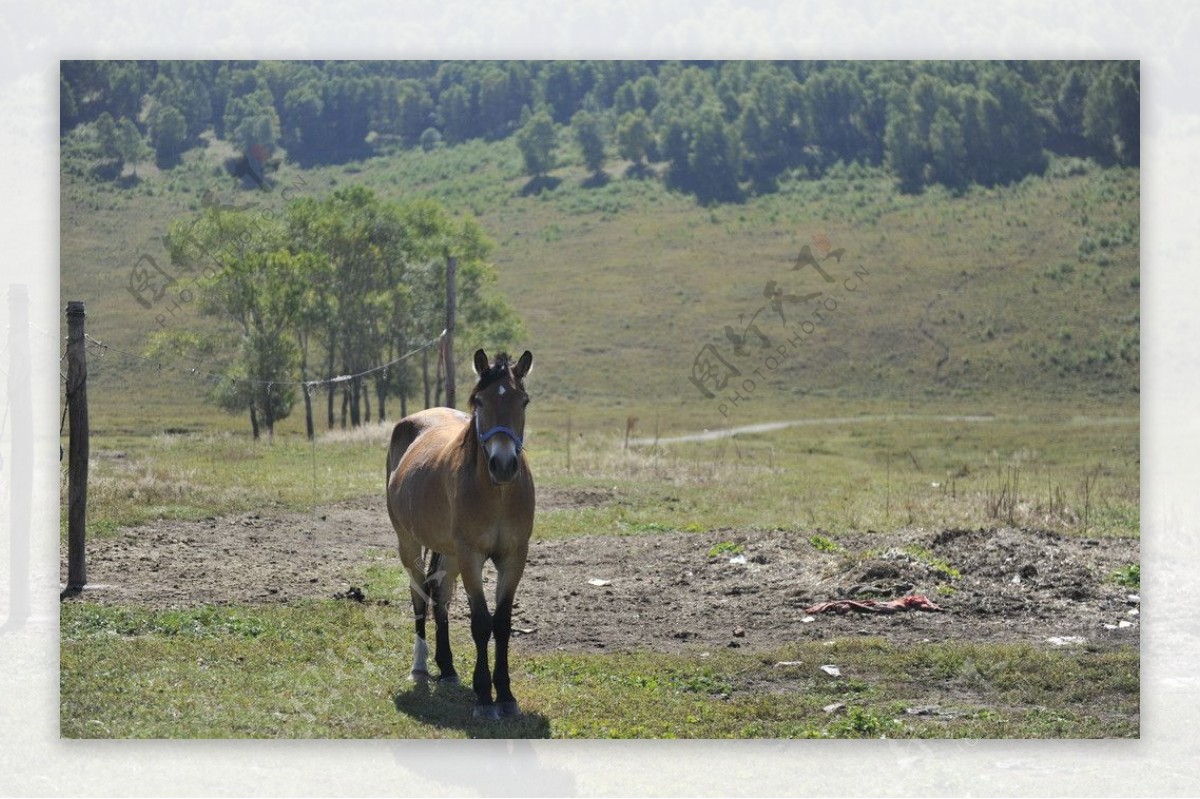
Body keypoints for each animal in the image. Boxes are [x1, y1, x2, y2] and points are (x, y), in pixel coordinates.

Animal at [384, 347, 535, 715]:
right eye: (479, 400)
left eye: (523, 401)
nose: (503, 465)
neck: (497, 493)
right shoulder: (472, 556)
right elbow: (481, 623)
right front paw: (484, 697)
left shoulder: (514, 557)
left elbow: (502, 623)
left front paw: (505, 695)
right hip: (410, 545)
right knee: (420, 597)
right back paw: (420, 667)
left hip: (450, 554)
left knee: (439, 599)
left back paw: (448, 669)